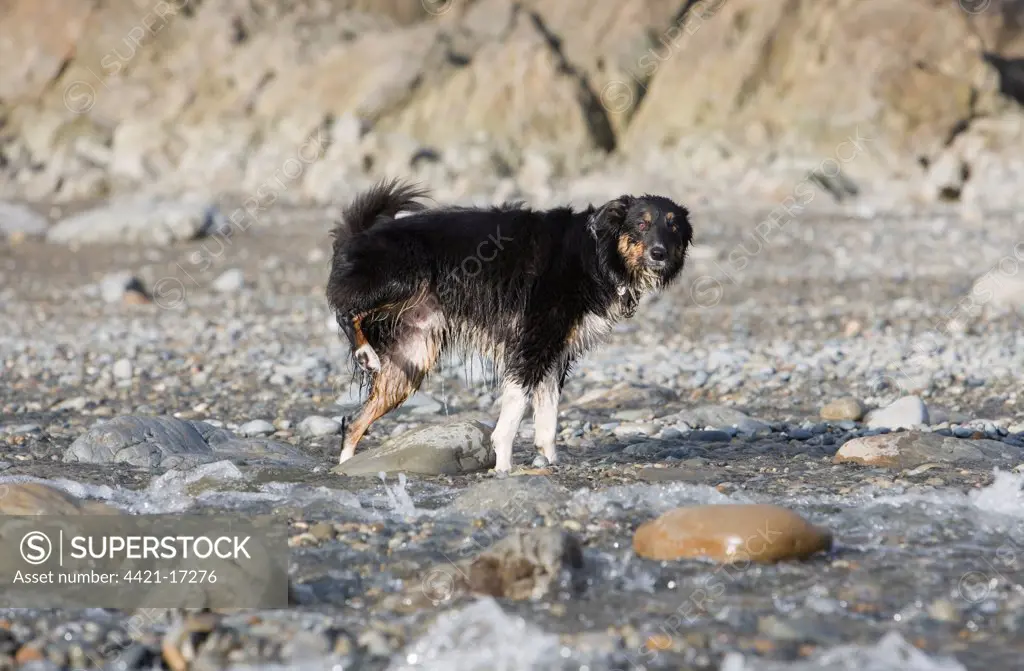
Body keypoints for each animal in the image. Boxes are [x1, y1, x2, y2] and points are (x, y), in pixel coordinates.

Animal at [325, 178, 696, 473]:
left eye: (674, 227)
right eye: (642, 224)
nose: (660, 253)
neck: (597, 252)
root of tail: (360, 233)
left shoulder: (554, 355)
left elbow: (547, 419)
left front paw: (548, 463)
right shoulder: (532, 345)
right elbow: (512, 417)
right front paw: (504, 467)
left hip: (411, 360)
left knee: (353, 421)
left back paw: (348, 467)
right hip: (403, 278)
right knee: (345, 309)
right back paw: (364, 353)